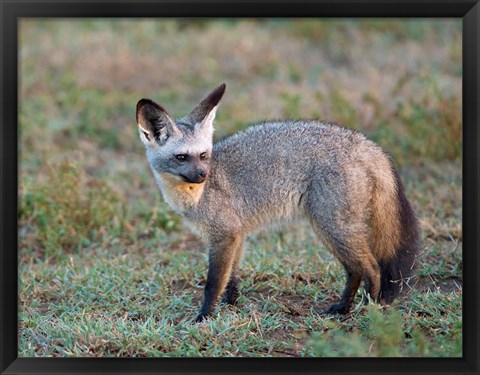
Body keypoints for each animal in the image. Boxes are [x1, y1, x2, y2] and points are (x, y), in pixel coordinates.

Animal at [134, 83, 416, 324]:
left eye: (203, 155)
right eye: (181, 157)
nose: (203, 174)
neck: (196, 194)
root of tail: (367, 145)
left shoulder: (224, 236)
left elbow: (213, 283)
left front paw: (204, 316)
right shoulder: (237, 235)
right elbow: (232, 278)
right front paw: (231, 305)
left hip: (332, 228)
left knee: (372, 268)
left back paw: (371, 308)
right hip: (333, 231)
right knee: (354, 270)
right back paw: (343, 308)